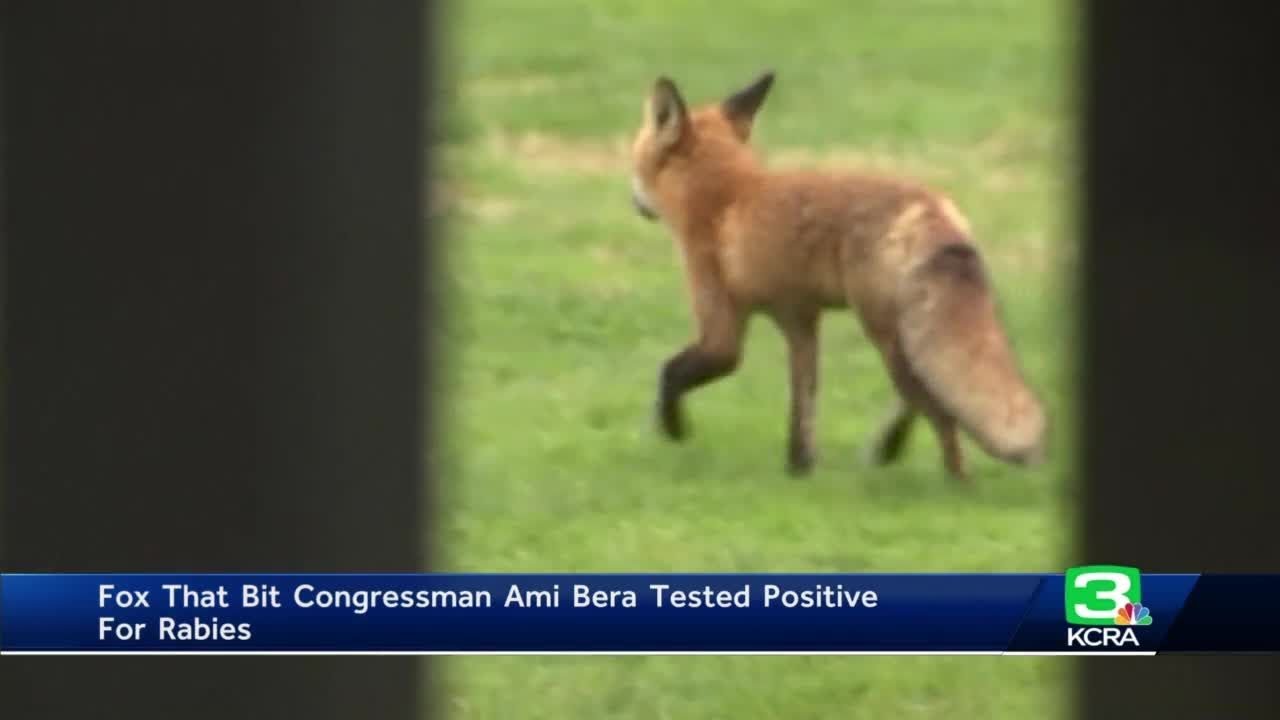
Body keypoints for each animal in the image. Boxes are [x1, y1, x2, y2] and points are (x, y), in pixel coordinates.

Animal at [627, 70, 1048, 481]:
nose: (634, 202)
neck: (724, 197)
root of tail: (929, 210)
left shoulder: (722, 332)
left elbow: (669, 373)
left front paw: (673, 428)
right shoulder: (799, 320)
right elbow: (803, 407)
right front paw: (799, 468)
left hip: (885, 333)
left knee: (941, 413)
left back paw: (954, 479)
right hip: (908, 335)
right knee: (932, 395)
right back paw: (889, 449)